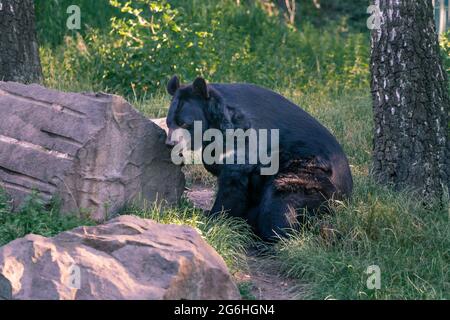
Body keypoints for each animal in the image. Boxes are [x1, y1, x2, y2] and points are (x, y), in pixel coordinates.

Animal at [166, 75, 356, 240]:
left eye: (184, 123)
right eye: (169, 122)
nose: (170, 144)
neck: (218, 123)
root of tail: (347, 196)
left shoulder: (246, 136)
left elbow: (233, 180)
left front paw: (215, 217)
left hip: (308, 176)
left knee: (279, 203)